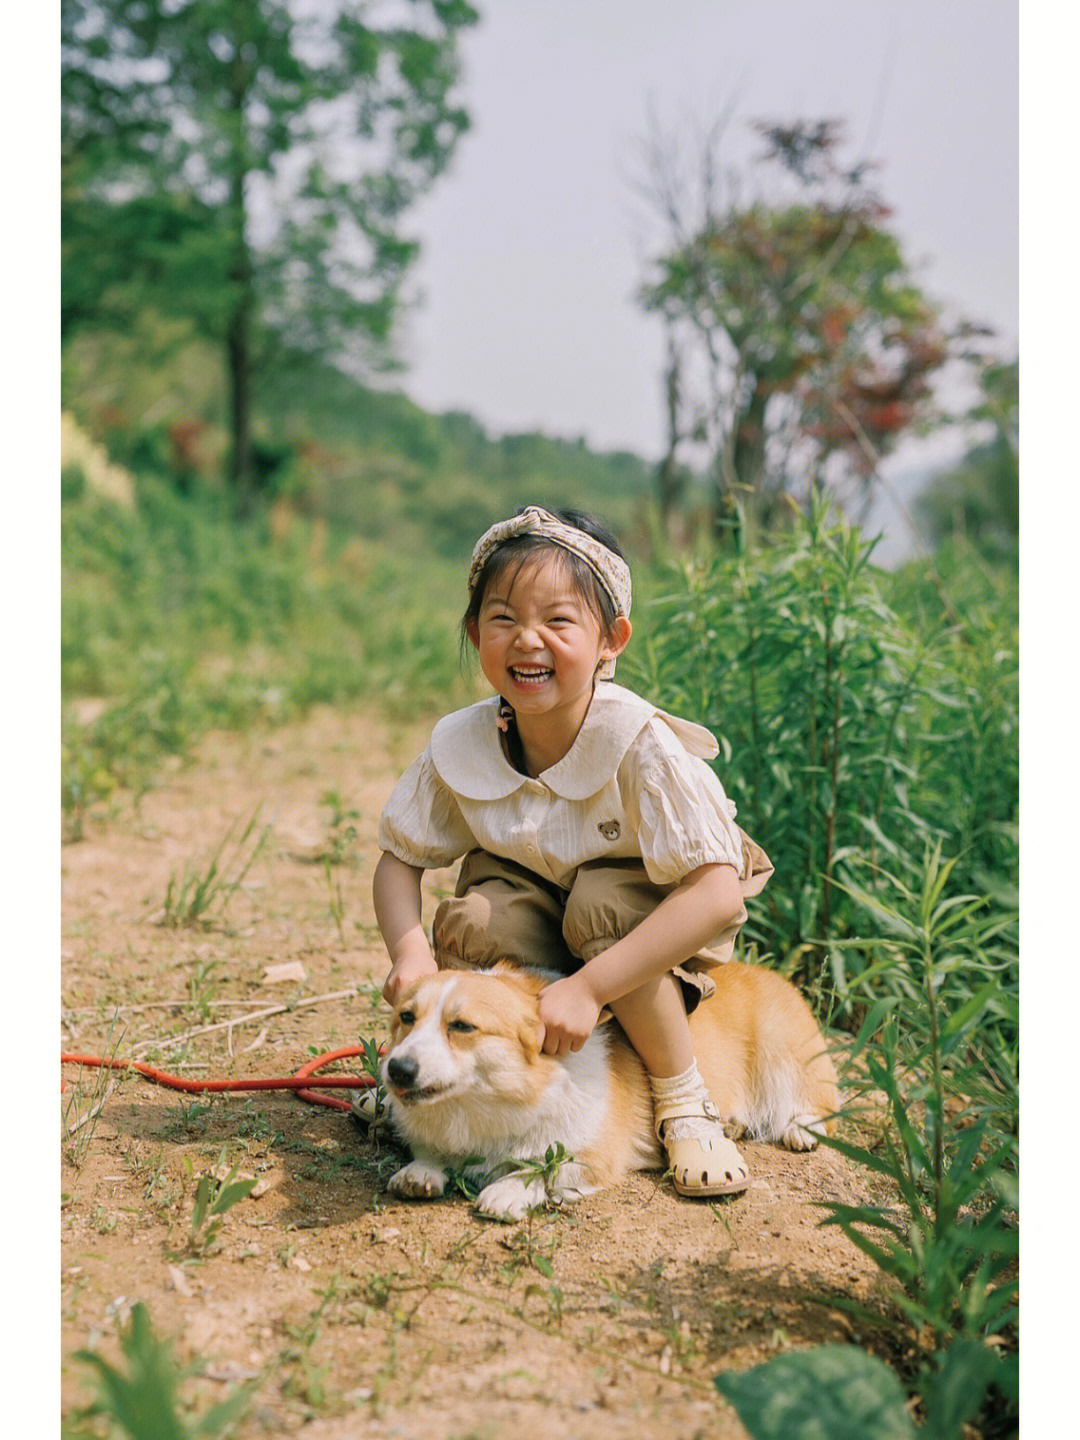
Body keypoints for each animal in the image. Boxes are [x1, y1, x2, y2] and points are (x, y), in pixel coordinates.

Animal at [383, 961, 846, 1221]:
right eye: (406, 1017)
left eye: (462, 1026)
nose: (397, 1069)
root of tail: (778, 977)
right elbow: (428, 1150)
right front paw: (421, 1170)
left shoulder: (595, 1156)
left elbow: (544, 1167)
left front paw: (506, 1190)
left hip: (783, 1055)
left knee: (820, 1101)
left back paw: (800, 1129)